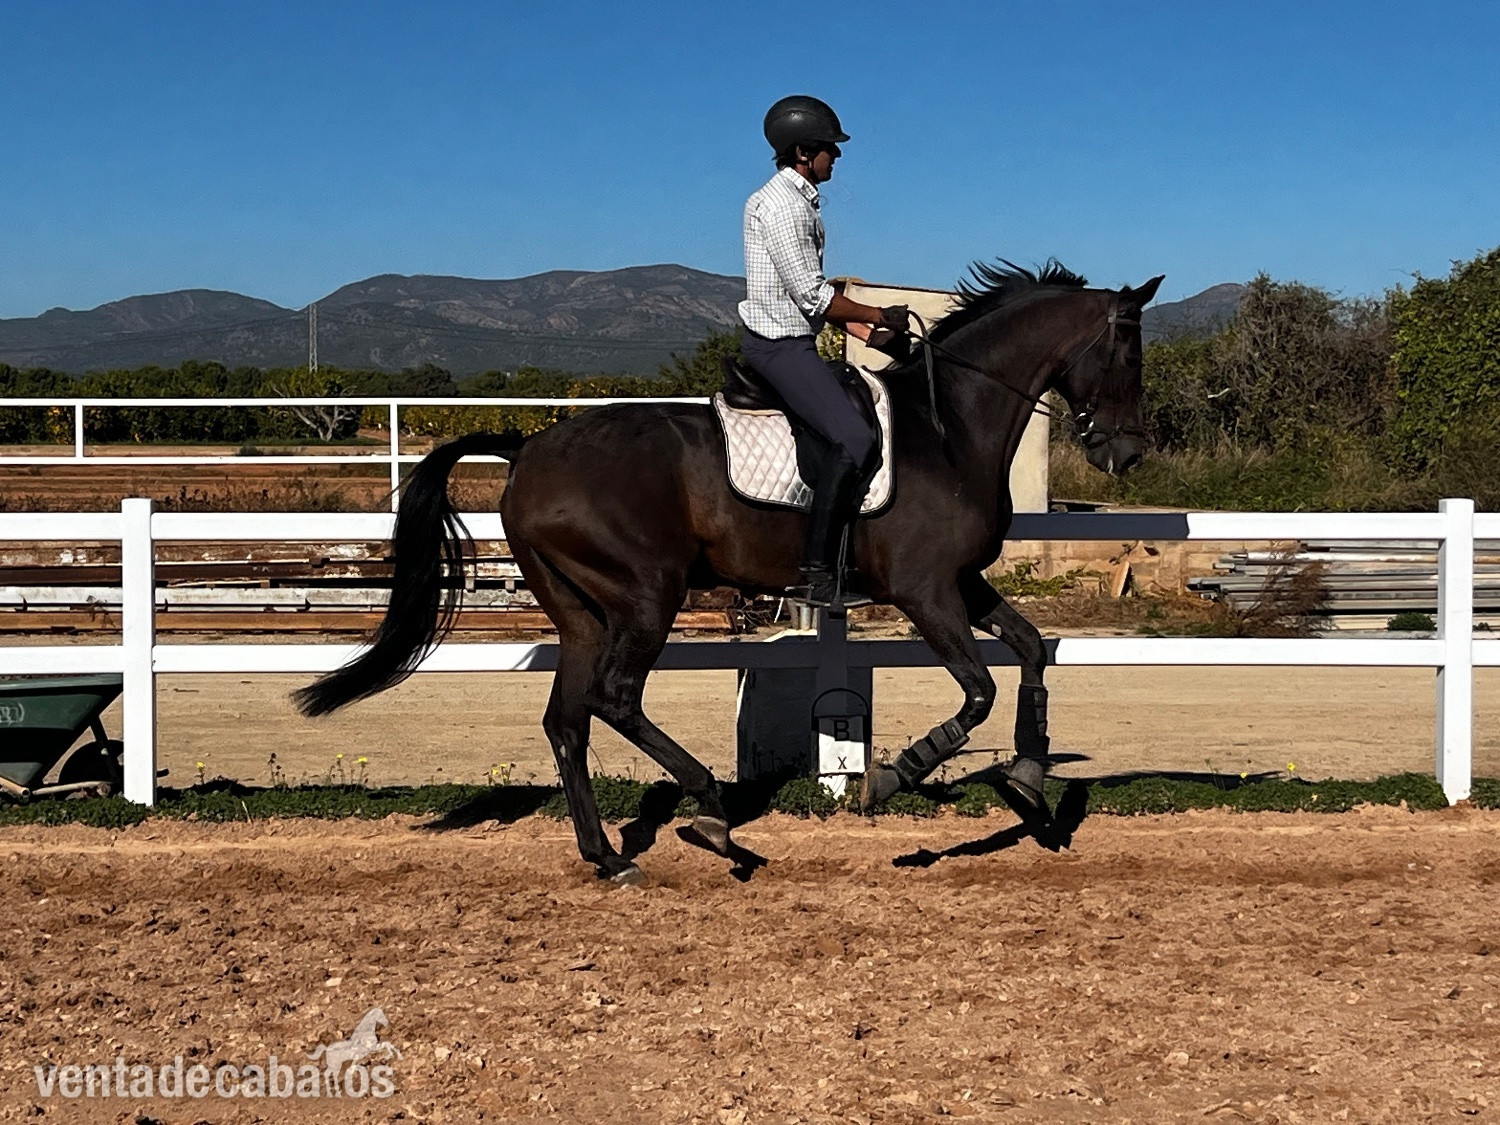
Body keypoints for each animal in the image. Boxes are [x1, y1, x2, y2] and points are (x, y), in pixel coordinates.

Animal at [295, 260, 1163, 885]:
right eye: (1129, 354)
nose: (1125, 453)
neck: (946, 427)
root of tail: (530, 447)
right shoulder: (925, 592)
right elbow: (978, 689)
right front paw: (893, 775)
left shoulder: (962, 584)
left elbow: (1031, 649)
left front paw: (1028, 780)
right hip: (646, 596)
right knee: (615, 698)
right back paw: (710, 811)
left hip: (582, 611)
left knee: (568, 720)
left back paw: (607, 855)